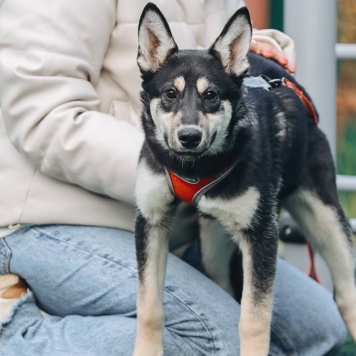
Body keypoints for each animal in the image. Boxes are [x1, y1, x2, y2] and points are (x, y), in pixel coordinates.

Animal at [134, 3, 356, 356]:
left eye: (211, 95)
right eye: (170, 93)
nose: (189, 137)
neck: (195, 167)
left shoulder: (262, 235)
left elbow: (253, 319)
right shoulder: (150, 223)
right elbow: (149, 308)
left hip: (326, 220)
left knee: (347, 294)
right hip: (213, 245)